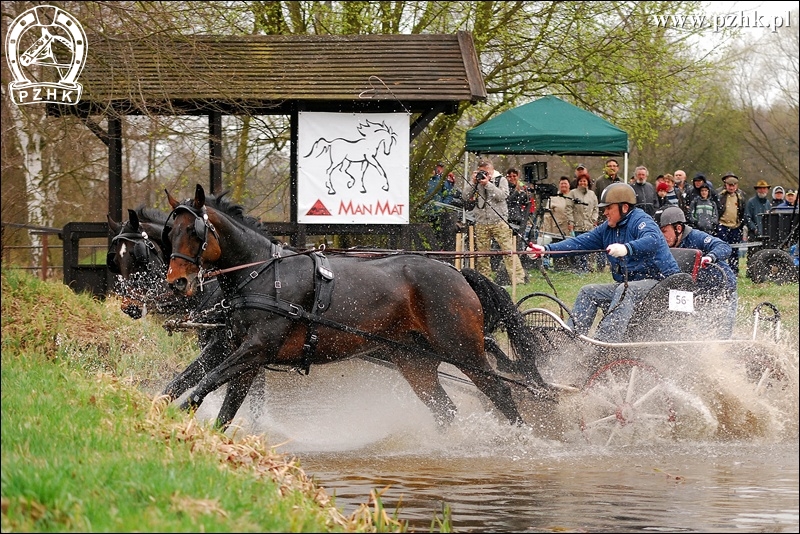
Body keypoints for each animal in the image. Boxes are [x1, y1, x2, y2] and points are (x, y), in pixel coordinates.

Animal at [162, 184, 552, 432]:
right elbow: (202, 393)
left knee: (502, 394)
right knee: (445, 410)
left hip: (463, 350)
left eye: (195, 232)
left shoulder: (255, 349)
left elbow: (204, 385)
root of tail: (457, 272)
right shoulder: (237, 350)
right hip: (415, 361)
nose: (176, 282)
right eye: (170, 232)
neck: (262, 273)